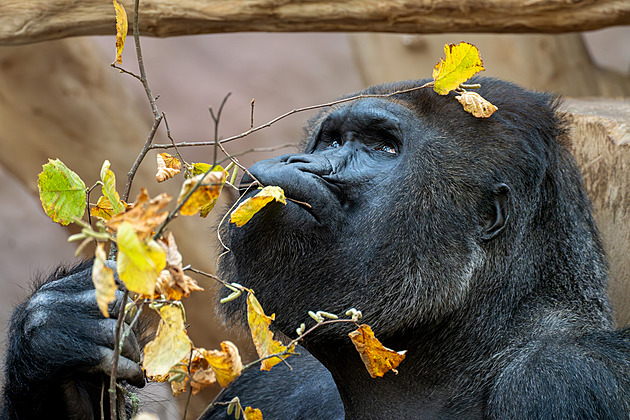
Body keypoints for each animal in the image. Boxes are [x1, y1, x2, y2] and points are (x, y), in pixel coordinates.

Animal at [1, 77, 630, 418]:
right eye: (331, 139)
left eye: (381, 147)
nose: (304, 163)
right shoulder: (272, 382)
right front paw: (55, 336)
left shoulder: (567, 381)